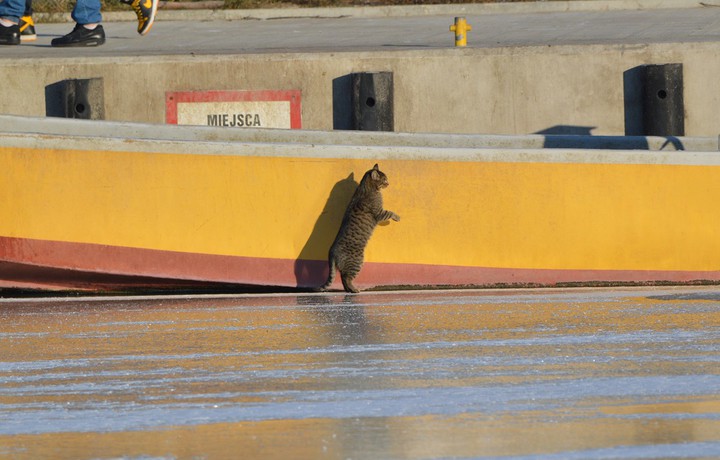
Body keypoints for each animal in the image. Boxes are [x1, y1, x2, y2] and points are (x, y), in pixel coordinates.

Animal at [320, 164, 400, 292]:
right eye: (384, 180)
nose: (389, 183)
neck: (364, 188)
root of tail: (331, 251)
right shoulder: (380, 213)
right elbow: (390, 213)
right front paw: (397, 217)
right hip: (357, 262)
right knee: (346, 277)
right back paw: (354, 289)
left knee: (343, 277)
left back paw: (349, 289)